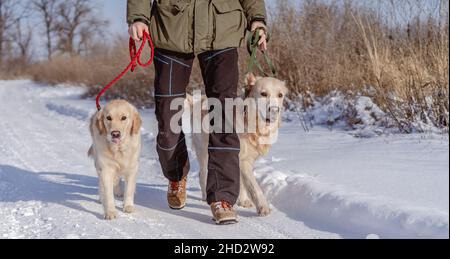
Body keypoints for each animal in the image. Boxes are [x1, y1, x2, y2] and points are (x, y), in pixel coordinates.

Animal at [191, 73, 288, 217]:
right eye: (263, 94)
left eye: (280, 95)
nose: (275, 110)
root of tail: (201, 99)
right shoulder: (242, 159)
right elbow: (254, 186)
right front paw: (263, 207)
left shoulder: (246, 158)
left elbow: (243, 182)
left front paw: (243, 201)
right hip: (203, 152)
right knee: (202, 173)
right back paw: (204, 196)